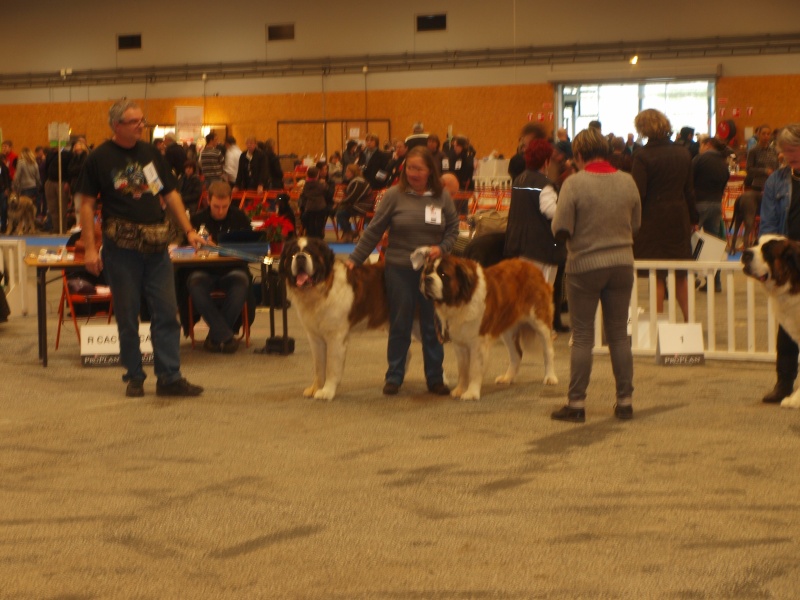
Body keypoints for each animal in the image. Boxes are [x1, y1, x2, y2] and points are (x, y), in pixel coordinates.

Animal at [280, 237, 392, 400]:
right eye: (293, 253)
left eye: (311, 253)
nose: (300, 257)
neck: (320, 291)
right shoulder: (315, 338)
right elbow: (319, 366)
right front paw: (315, 388)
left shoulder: (336, 337)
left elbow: (332, 367)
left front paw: (327, 391)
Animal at [418, 254, 556, 400]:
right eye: (428, 271)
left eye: (443, 274)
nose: (427, 279)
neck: (461, 300)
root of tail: (533, 267)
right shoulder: (459, 344)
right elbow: (462, 369)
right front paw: (460, 390)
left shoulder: (478, 342)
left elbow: (474, 368)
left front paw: (471, 393)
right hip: (507, 329)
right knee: (516, 354)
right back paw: (507, 378)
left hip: (540, 322)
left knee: (548, 351)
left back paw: (550, 377)